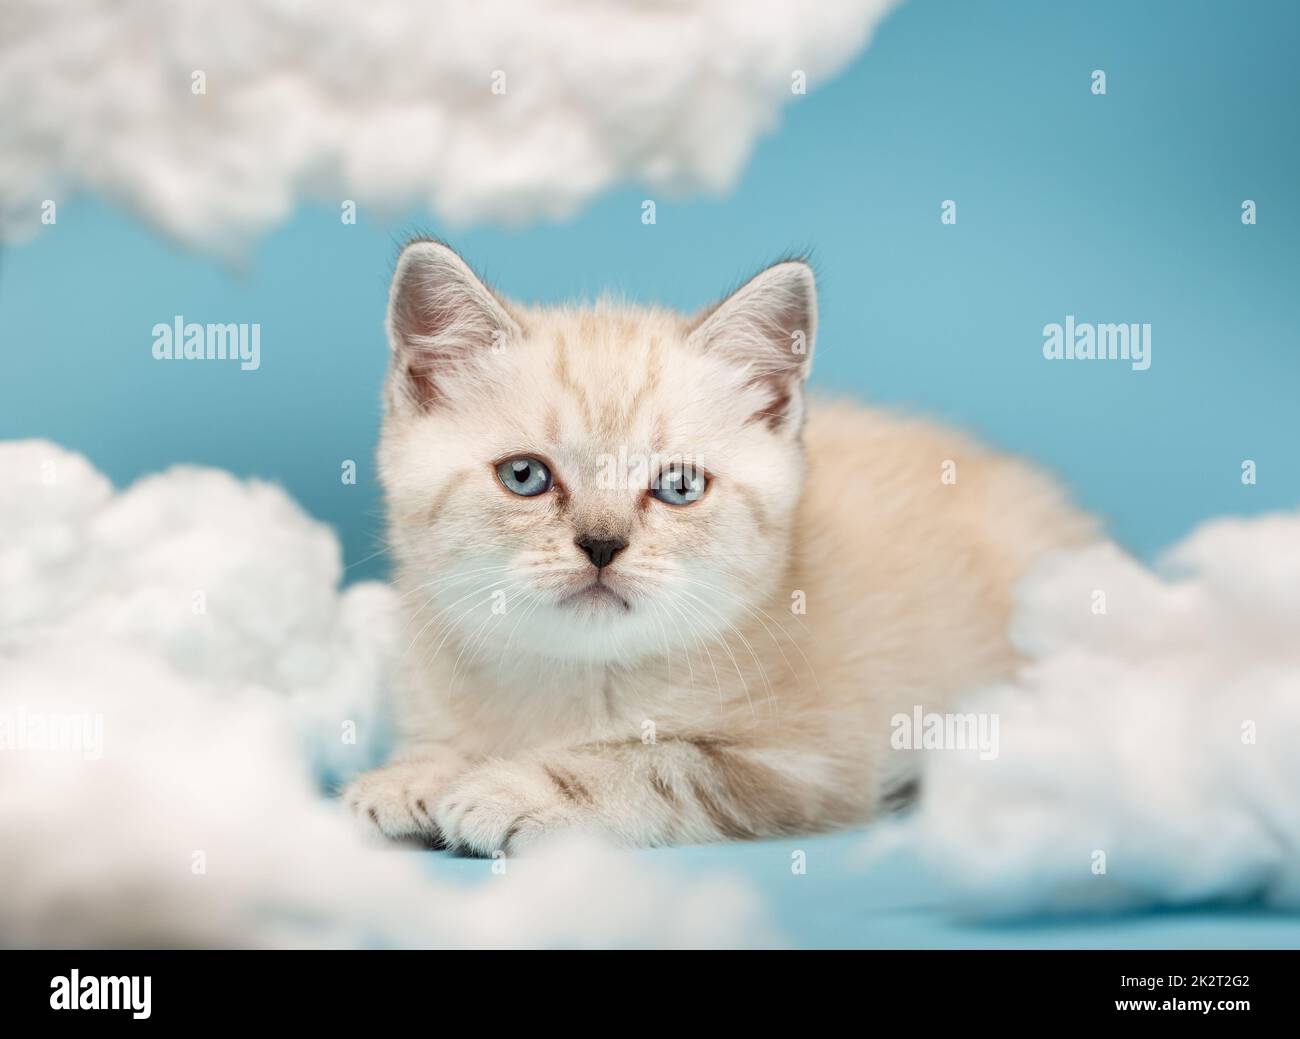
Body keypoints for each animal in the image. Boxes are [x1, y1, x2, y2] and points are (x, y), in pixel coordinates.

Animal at [340, 241, 1092, 853]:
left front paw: (508, 787)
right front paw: (416, 771)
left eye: (678, 486)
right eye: (524, 476)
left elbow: (655, 764)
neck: (573, 679)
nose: (602, 545)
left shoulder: (804, 766)